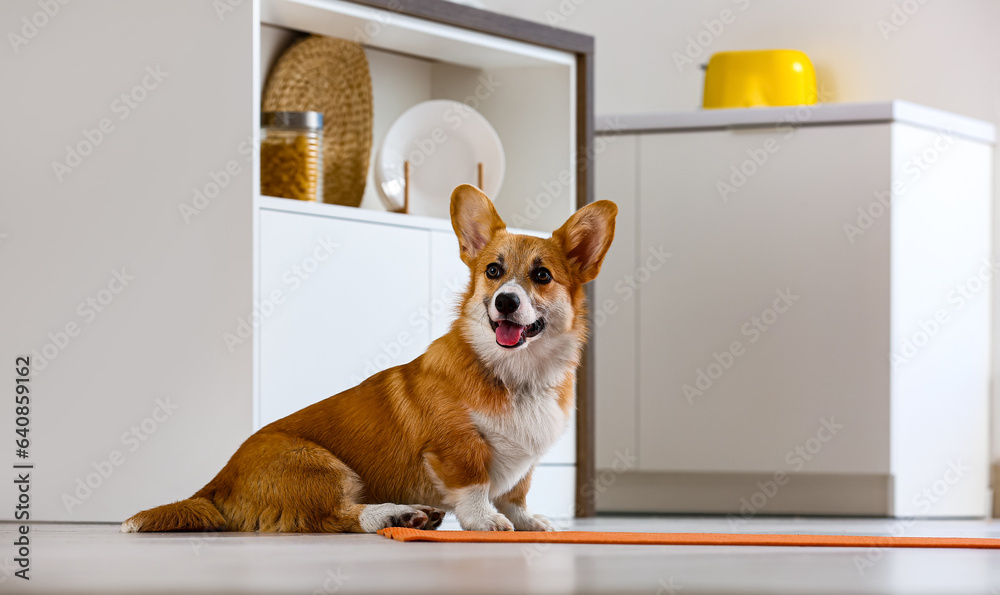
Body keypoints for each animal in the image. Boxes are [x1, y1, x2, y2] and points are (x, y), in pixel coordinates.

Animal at [121, 186, 612, 536]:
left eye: (541, 275)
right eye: (493, 271)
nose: (505, 302)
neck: (516, 374)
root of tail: (217, 480)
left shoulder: (525, 465)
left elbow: (516, 494)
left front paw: (531, 521)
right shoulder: (455, 447)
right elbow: (475, 487)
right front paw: (485, 521)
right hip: (323, 467)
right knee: (336, 516)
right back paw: (393, 516)